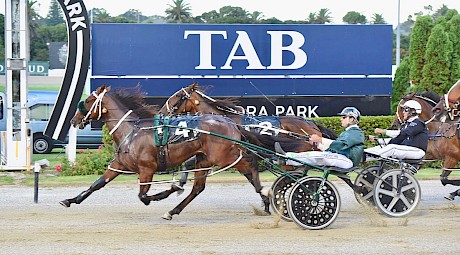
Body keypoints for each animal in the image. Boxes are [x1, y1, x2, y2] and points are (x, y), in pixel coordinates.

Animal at [59, 84, 304, 218]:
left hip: (224, 156)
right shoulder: (118, 165)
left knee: (251, 166)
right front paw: (70, 200)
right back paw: (172, 211)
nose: (73, 120)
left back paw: (267, 193)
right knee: (198, 188)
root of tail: (231, 123)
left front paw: (165, 192)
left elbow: (143, 195)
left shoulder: (147, 168)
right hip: (205, 159)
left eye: (88, 100)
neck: (133, 132)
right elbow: (96, 185)